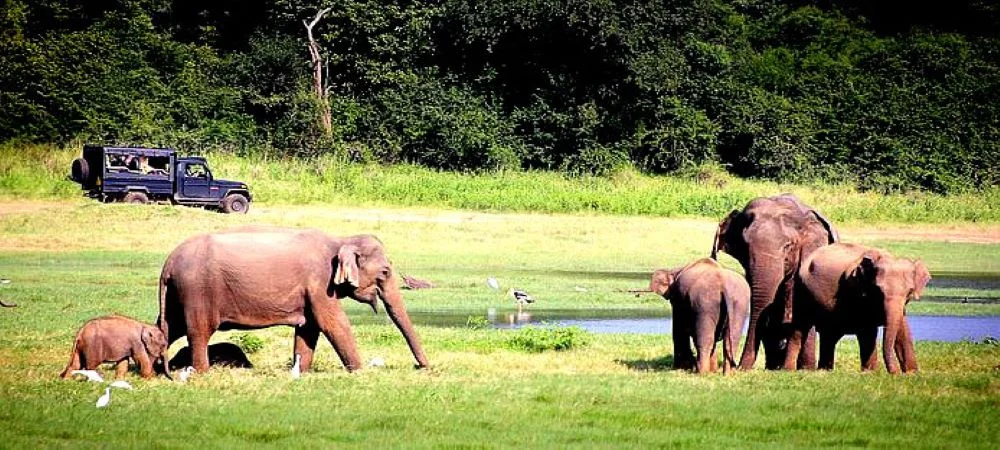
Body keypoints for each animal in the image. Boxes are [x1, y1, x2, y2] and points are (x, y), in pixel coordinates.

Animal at [157, 226, 429, 376]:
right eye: (385, 271)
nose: (422, 367)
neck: (341, 239)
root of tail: (168, 262)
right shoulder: (320, 282)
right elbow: (332, 323)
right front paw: (360, 372)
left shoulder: (312, 290)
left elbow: (309, 328)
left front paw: (301, 372)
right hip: (198, 290)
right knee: (199, 331)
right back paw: (203, 372)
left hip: (178, 294)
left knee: (167, 327)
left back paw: (157, 370)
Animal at [786, 243, 930, 374]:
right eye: (878, 290)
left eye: (910, 291)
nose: (894, 373)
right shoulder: (858, 294)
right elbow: (868, 331)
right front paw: (871, 373)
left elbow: (903, 330)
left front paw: (912, 373)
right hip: (802, 291)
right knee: (799, 330)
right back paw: (789, 370)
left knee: (829, 335)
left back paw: (825, 370)